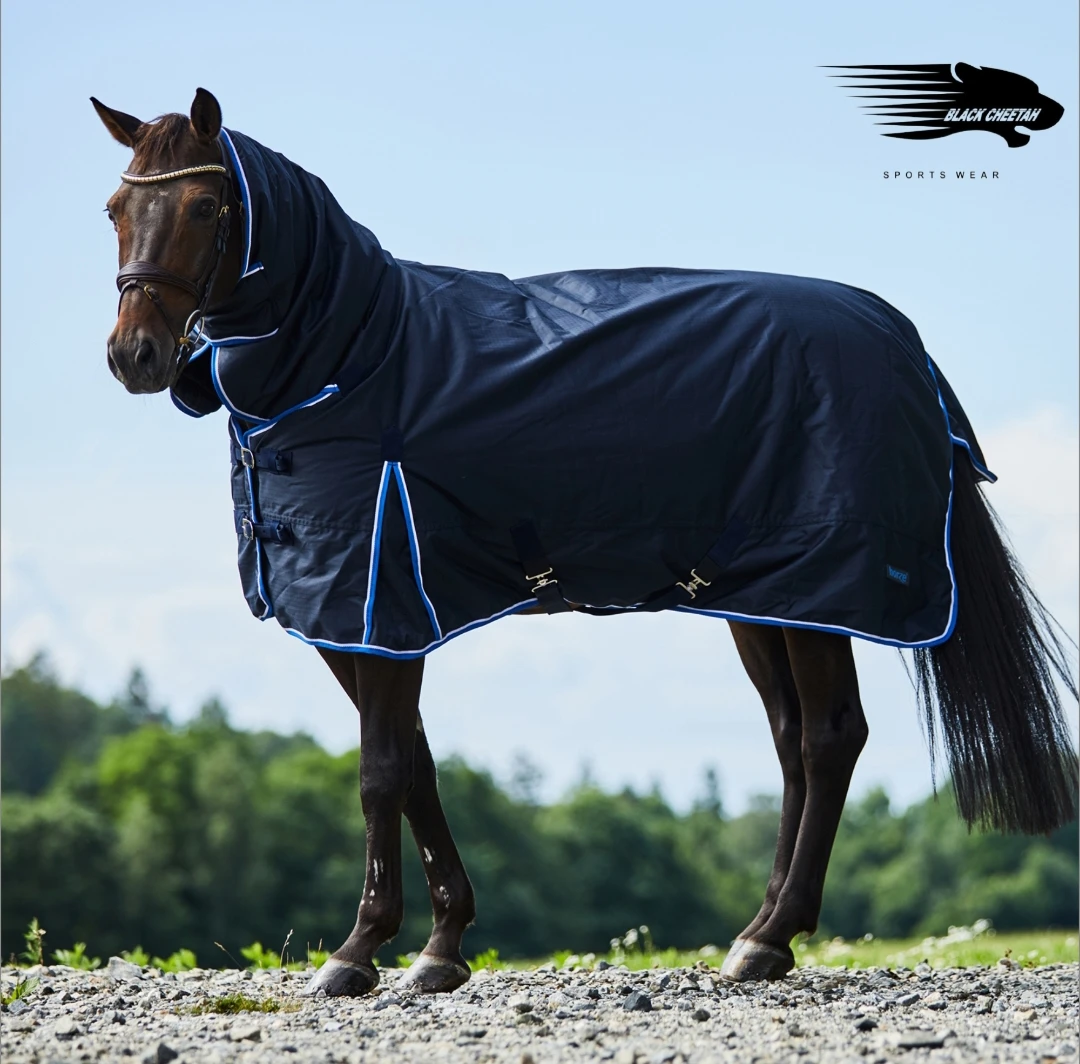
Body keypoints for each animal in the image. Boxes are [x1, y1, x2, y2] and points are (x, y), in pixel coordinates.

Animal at [94, 88, 1078, 996]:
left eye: (206, 207)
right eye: (115, 208)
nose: (134, 356)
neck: (350, 357)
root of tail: (902, 342)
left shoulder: (378, 599)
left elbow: (381, 772)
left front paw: (359, 951)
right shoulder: (359, 622)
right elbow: (417, 765)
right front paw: (442, 947)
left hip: (819, 592)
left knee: (831, 738)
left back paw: (770, 941)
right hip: (761, 598)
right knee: (793, 741)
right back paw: (757, 930)